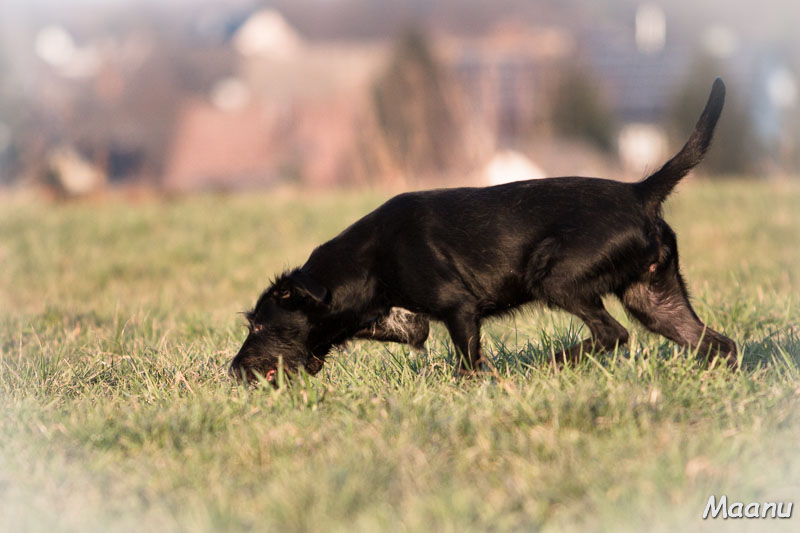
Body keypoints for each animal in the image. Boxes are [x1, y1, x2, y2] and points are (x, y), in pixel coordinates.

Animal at [230, 78, 736, 382]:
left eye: (260, 326)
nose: (234, 371)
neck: (370, 257)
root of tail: (640, 192)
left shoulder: (460, 310)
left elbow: (469, 363)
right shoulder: (404, 319)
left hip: (556, 278)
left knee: (613, 334)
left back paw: (553, 364)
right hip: (655, 298)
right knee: (716, 343)